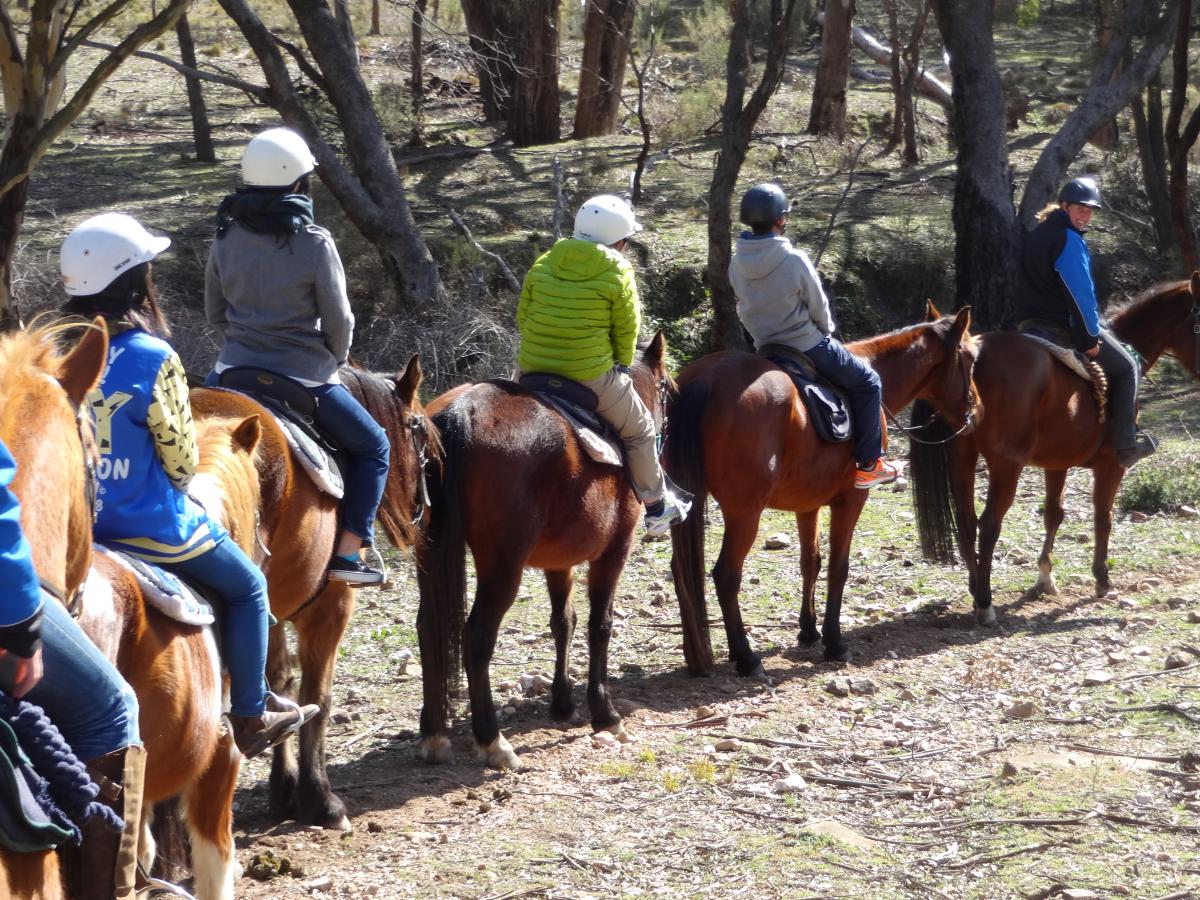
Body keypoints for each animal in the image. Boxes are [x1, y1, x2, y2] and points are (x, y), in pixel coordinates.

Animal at [184, 360, 434, 830]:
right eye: (420, 432)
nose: (421, 508)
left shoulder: (271, 612)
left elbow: (279, 681)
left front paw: (283, 789)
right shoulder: (330, 608)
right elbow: (318, 695)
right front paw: (319, 799)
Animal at [415, 336, 676, 772]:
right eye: (667, 388)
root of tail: (458, 413)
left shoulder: (559, 562)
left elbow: (563, 623)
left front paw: (562, 703)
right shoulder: (613, 553)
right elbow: (599, 624)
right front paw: (604, 713)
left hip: (431, 557)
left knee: (428, 627)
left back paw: (434, 734)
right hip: (502, 565)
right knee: (476, 636)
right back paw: (492, 740)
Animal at [662, 307, 979, 672]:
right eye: (970, 359)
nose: (976, 410)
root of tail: (707, 379)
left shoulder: (807, 504)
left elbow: (810, 561)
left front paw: (808, 631)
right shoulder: (851, 500)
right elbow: (839, 568)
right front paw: (834, 641)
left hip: (687, 502)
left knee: (682, 570)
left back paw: (696, 657)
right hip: (744, 513)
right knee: (726, 575)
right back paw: (746, 657)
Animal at [907, 274, 1200, 619]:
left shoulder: (1056, 462)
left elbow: (1053, 514)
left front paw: (1045, 578)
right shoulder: (1111, 464)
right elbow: (1103, 515)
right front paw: (1102, 578)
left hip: (962, 458)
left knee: (966, 521)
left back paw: (975, 587)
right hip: (1006, 465)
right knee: (989, 524)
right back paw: (985, 601)